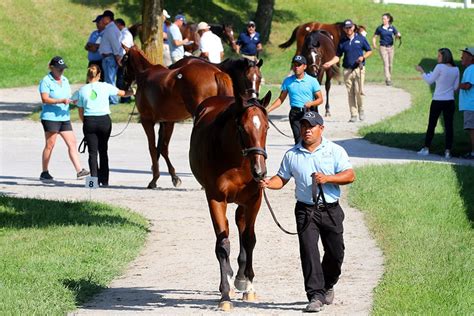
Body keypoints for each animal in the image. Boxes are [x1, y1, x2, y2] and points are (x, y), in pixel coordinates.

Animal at [122, 46, 233, 188]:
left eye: (123, 61)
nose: (124, 82)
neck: (145, 73)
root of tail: (216, 72)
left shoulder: (146, 121)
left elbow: (153, 148)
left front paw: (154, 179)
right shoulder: (168, 122)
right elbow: (163, 148)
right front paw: (173, 177)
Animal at [188, 90, 270, 310]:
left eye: (266, 127)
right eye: (242, 128)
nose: (260, 171)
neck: (237, 163)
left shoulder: (254, 199)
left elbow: (249, 239)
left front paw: (249, 286)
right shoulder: (216, 199)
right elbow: (223, 244)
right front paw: (225, 295)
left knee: (241, 225)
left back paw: (240, 278)